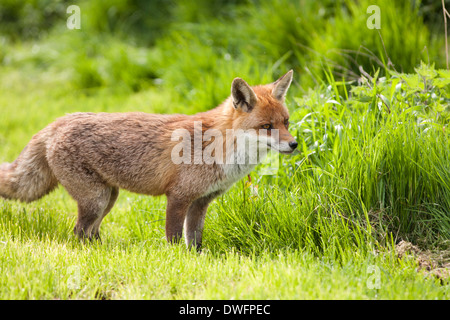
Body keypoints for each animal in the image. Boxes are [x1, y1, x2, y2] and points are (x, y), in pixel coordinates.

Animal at [0, 70, 298, 250]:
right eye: (266, 127)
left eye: (285, 122)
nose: (294, 144)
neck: (219, 147)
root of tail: (59, 121)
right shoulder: (178, 197)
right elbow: (175, 239)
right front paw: (177, 261)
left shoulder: (200, 202)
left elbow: (195, 241)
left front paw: (197, 260)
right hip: (95, 199)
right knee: (79, 233)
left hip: (108, 197)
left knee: (91, 233)